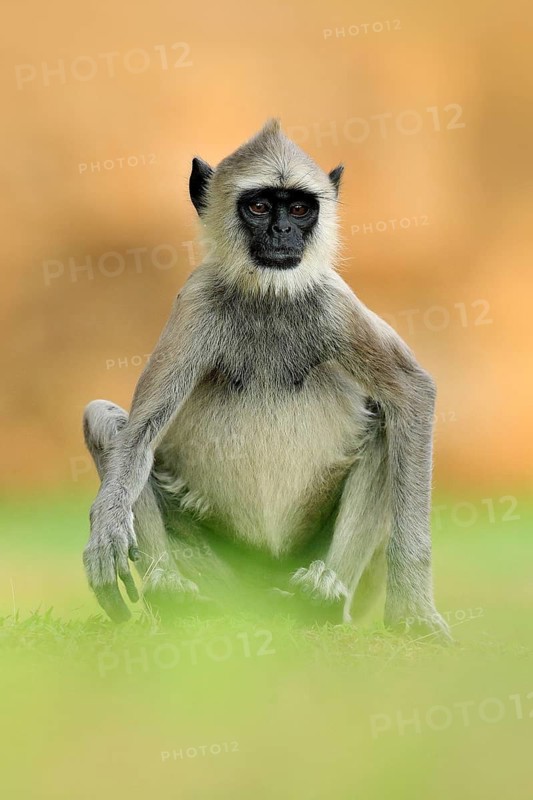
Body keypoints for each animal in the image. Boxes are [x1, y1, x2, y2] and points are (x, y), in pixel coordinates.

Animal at [82, 119, 450, 640]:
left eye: (298, 208)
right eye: (258, 206)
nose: (282, 231)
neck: (268, 296)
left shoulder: (332, 300)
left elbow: (412, 393)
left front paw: (413, 609)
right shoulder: (197, 301)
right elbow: (138, 435)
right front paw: (106, 534)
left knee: (384, 425)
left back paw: (320, 598)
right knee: (105, 420)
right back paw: (172, 592)